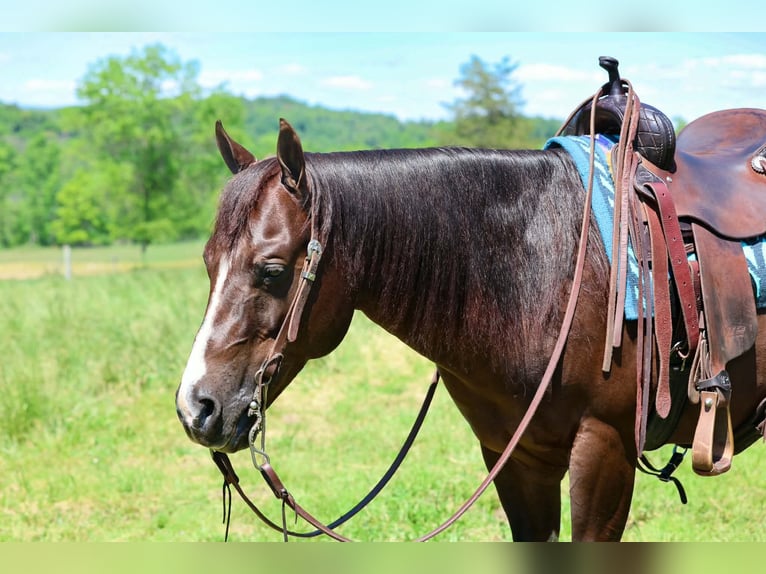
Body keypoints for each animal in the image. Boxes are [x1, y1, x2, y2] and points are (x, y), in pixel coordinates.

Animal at [175, 118, 766, 541]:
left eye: (272, 271)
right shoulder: (512, 455)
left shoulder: (607, 447)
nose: (195, 408)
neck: (547, 272)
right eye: (206, 263)